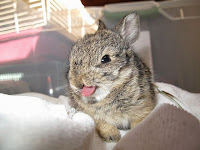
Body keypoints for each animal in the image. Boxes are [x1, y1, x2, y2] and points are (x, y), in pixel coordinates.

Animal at [66, 13, 155, 142]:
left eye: (106, 59)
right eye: (72, 60)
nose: (76, 83)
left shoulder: (143, 107)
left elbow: (140, 123)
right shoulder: (94, 116)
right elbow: (104, 125)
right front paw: (113, 137)